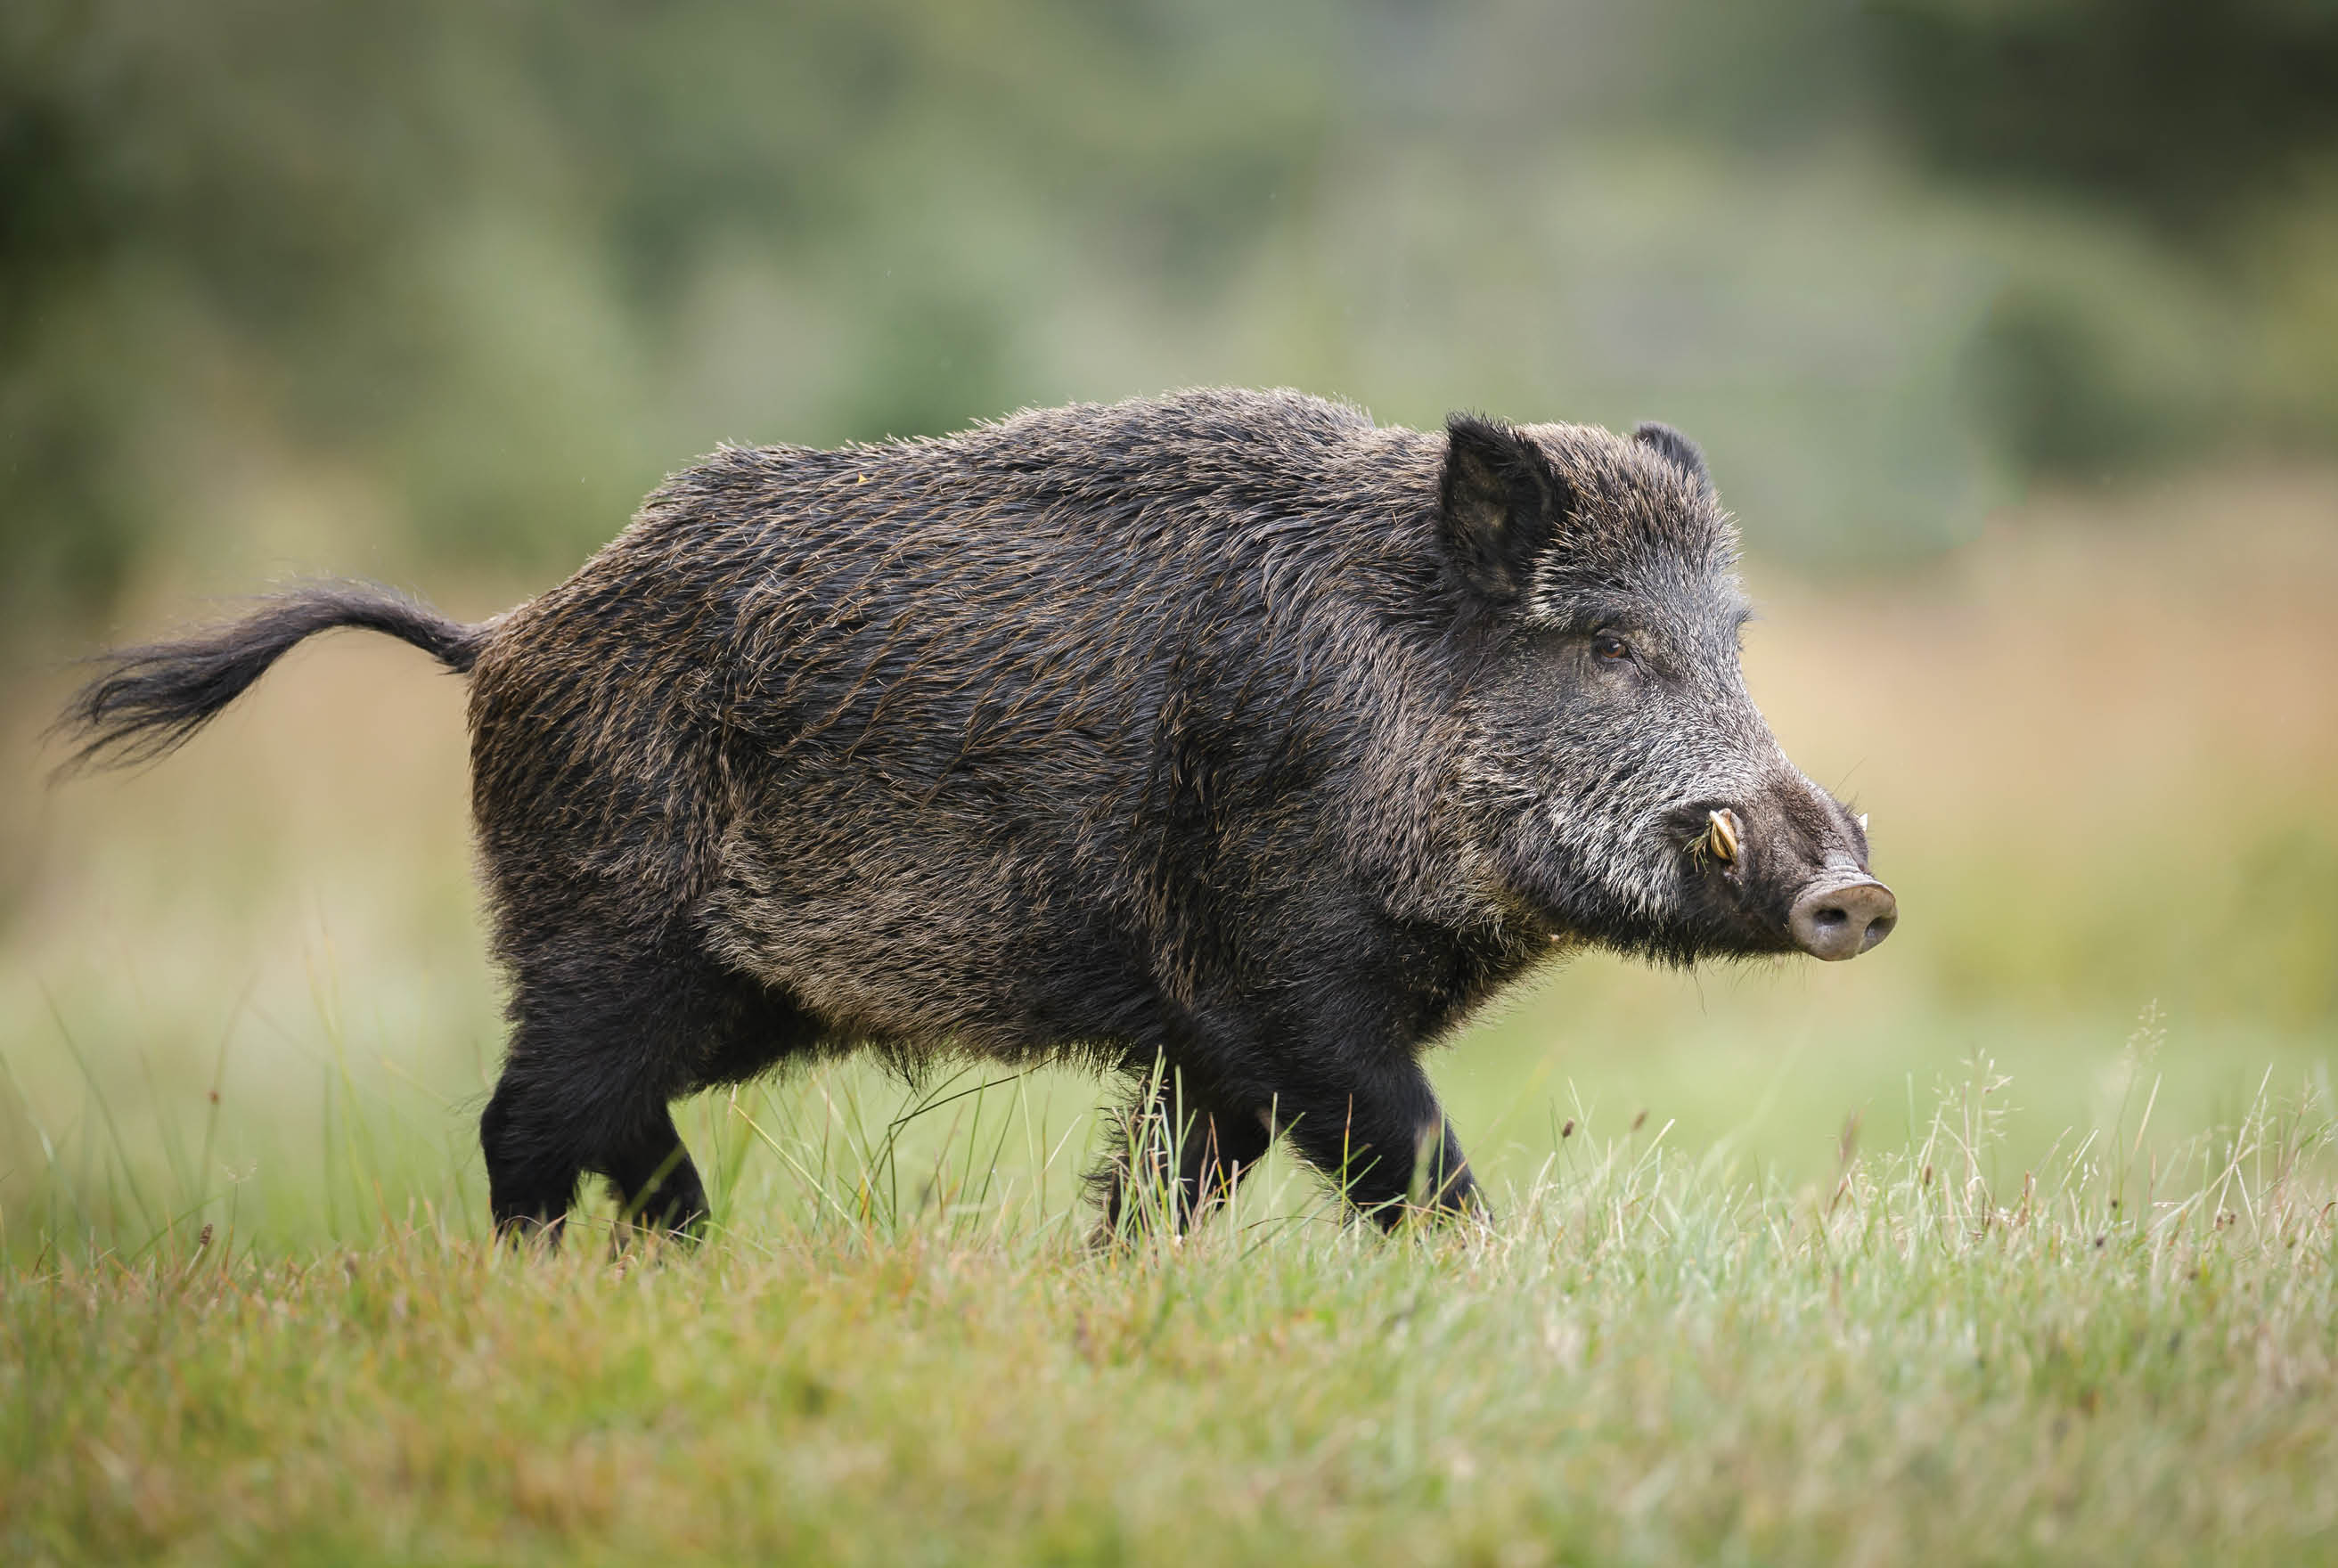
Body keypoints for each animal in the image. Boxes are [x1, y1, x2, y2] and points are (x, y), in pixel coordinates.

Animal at [59, 389, 1895, 1241]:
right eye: (1604, 643)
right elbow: (1412, 1163)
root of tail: (502, 635)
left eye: (1731, 639)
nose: (1855, 895)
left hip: (726, 991)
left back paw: (697, 1264)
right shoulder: (1281, 982)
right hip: (601, 932)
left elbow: (1166, 1188)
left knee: (609, 1127)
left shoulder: (1206, 1040)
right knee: (529, 1122)